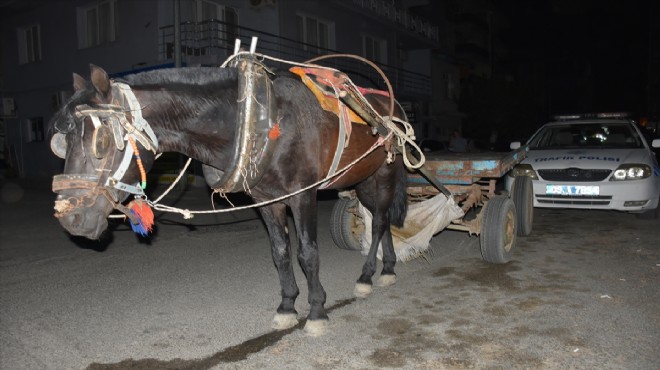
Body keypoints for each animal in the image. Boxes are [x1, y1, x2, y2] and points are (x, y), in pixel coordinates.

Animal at [50, 61, 408, 336]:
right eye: (61, 144)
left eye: (101, 141)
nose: (71, 218)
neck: (261, 119)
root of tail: (393, 109)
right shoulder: (268, 201)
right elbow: (280, 253)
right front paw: (287, 305)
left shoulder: (302, 195)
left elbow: (307, 254)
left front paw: (317, 309)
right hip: (363, 179)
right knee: (382, 219)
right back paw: (388, 267)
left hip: (384, 175)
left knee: (378, 222)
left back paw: (368, 275)